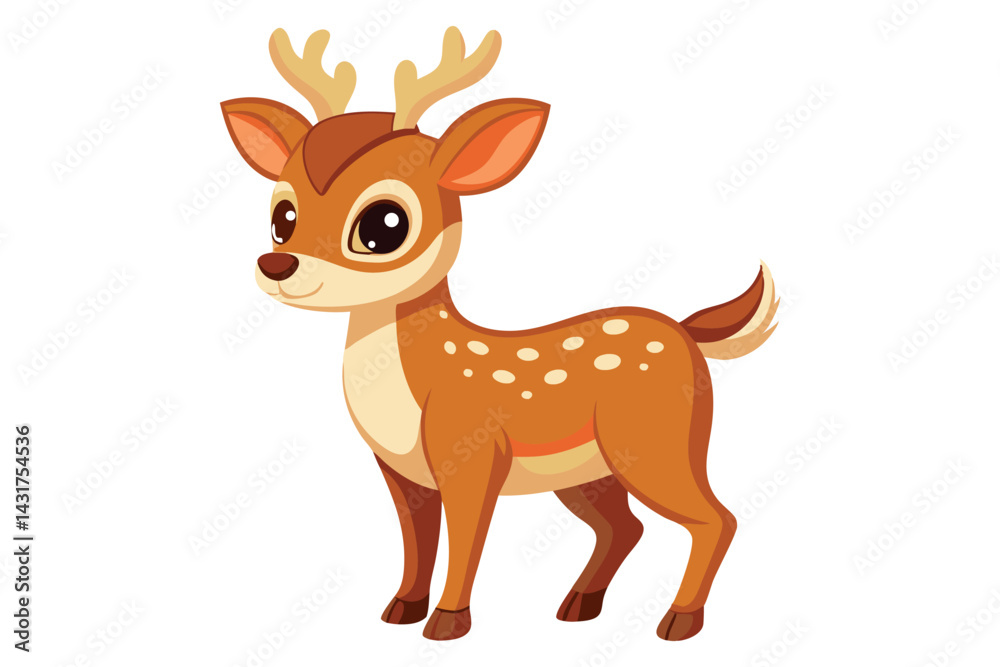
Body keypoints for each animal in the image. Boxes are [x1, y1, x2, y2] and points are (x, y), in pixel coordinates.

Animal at [220, 26, 778, 642]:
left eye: (384, 225)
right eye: (283, 217)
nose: (277, 265)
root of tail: (685, 332)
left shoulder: (473, 453)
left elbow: (466, 541)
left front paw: (447, 623)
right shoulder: (400, 471)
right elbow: (417, 542)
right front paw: (401, 610)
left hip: (655, 441)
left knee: (717, 518)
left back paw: (678, 622)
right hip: (590, 472)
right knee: (625, 527)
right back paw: (579, 605)